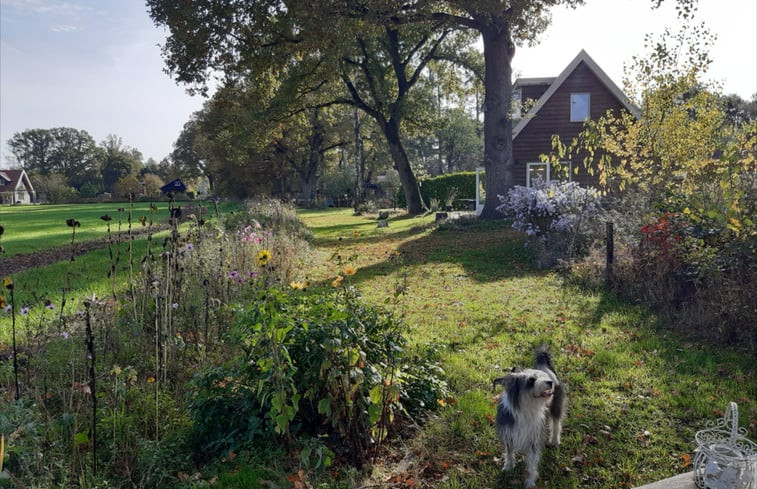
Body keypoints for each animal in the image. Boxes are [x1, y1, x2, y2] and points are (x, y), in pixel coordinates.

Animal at [494, 348, 564, 486]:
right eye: (531, 380)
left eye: (543, 376)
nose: (550, 382)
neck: (526, 409)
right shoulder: (509, 433)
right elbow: (509, 452)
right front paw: (508, 467)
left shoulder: (534, 438)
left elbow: (531, 463)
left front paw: (530, 481)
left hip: (556, 406)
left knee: (556, 423)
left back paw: (554, 440)